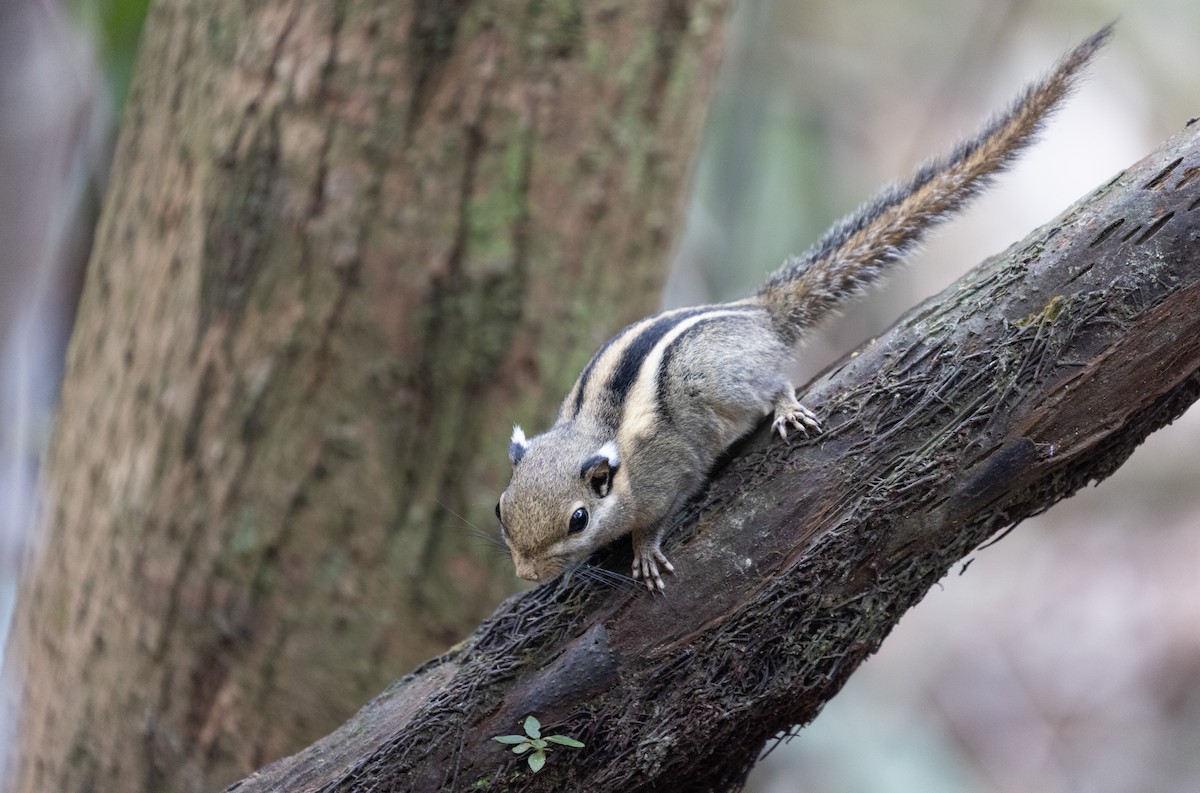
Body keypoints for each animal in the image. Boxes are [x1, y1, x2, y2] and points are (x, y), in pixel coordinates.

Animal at [495, 27, 1110, 592]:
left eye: (578, 519)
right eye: (500, 509)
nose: (526, 573)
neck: (597, 435)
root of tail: (758, 312)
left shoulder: (670, 472)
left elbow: (661, 511)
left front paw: (643, 550)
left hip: (725, 381)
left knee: (775, 383)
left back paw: (786, 407)